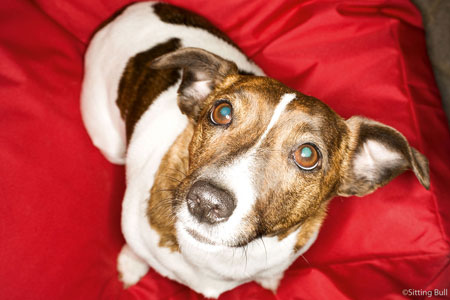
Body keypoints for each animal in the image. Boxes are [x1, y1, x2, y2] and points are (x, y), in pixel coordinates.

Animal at [80, 1, 428, 298]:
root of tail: (130, 10)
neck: (218, 254)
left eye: (307, 155)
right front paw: (131, 266)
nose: (206, 201)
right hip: (110, 142)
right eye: (221, 112)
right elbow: (137, 249)